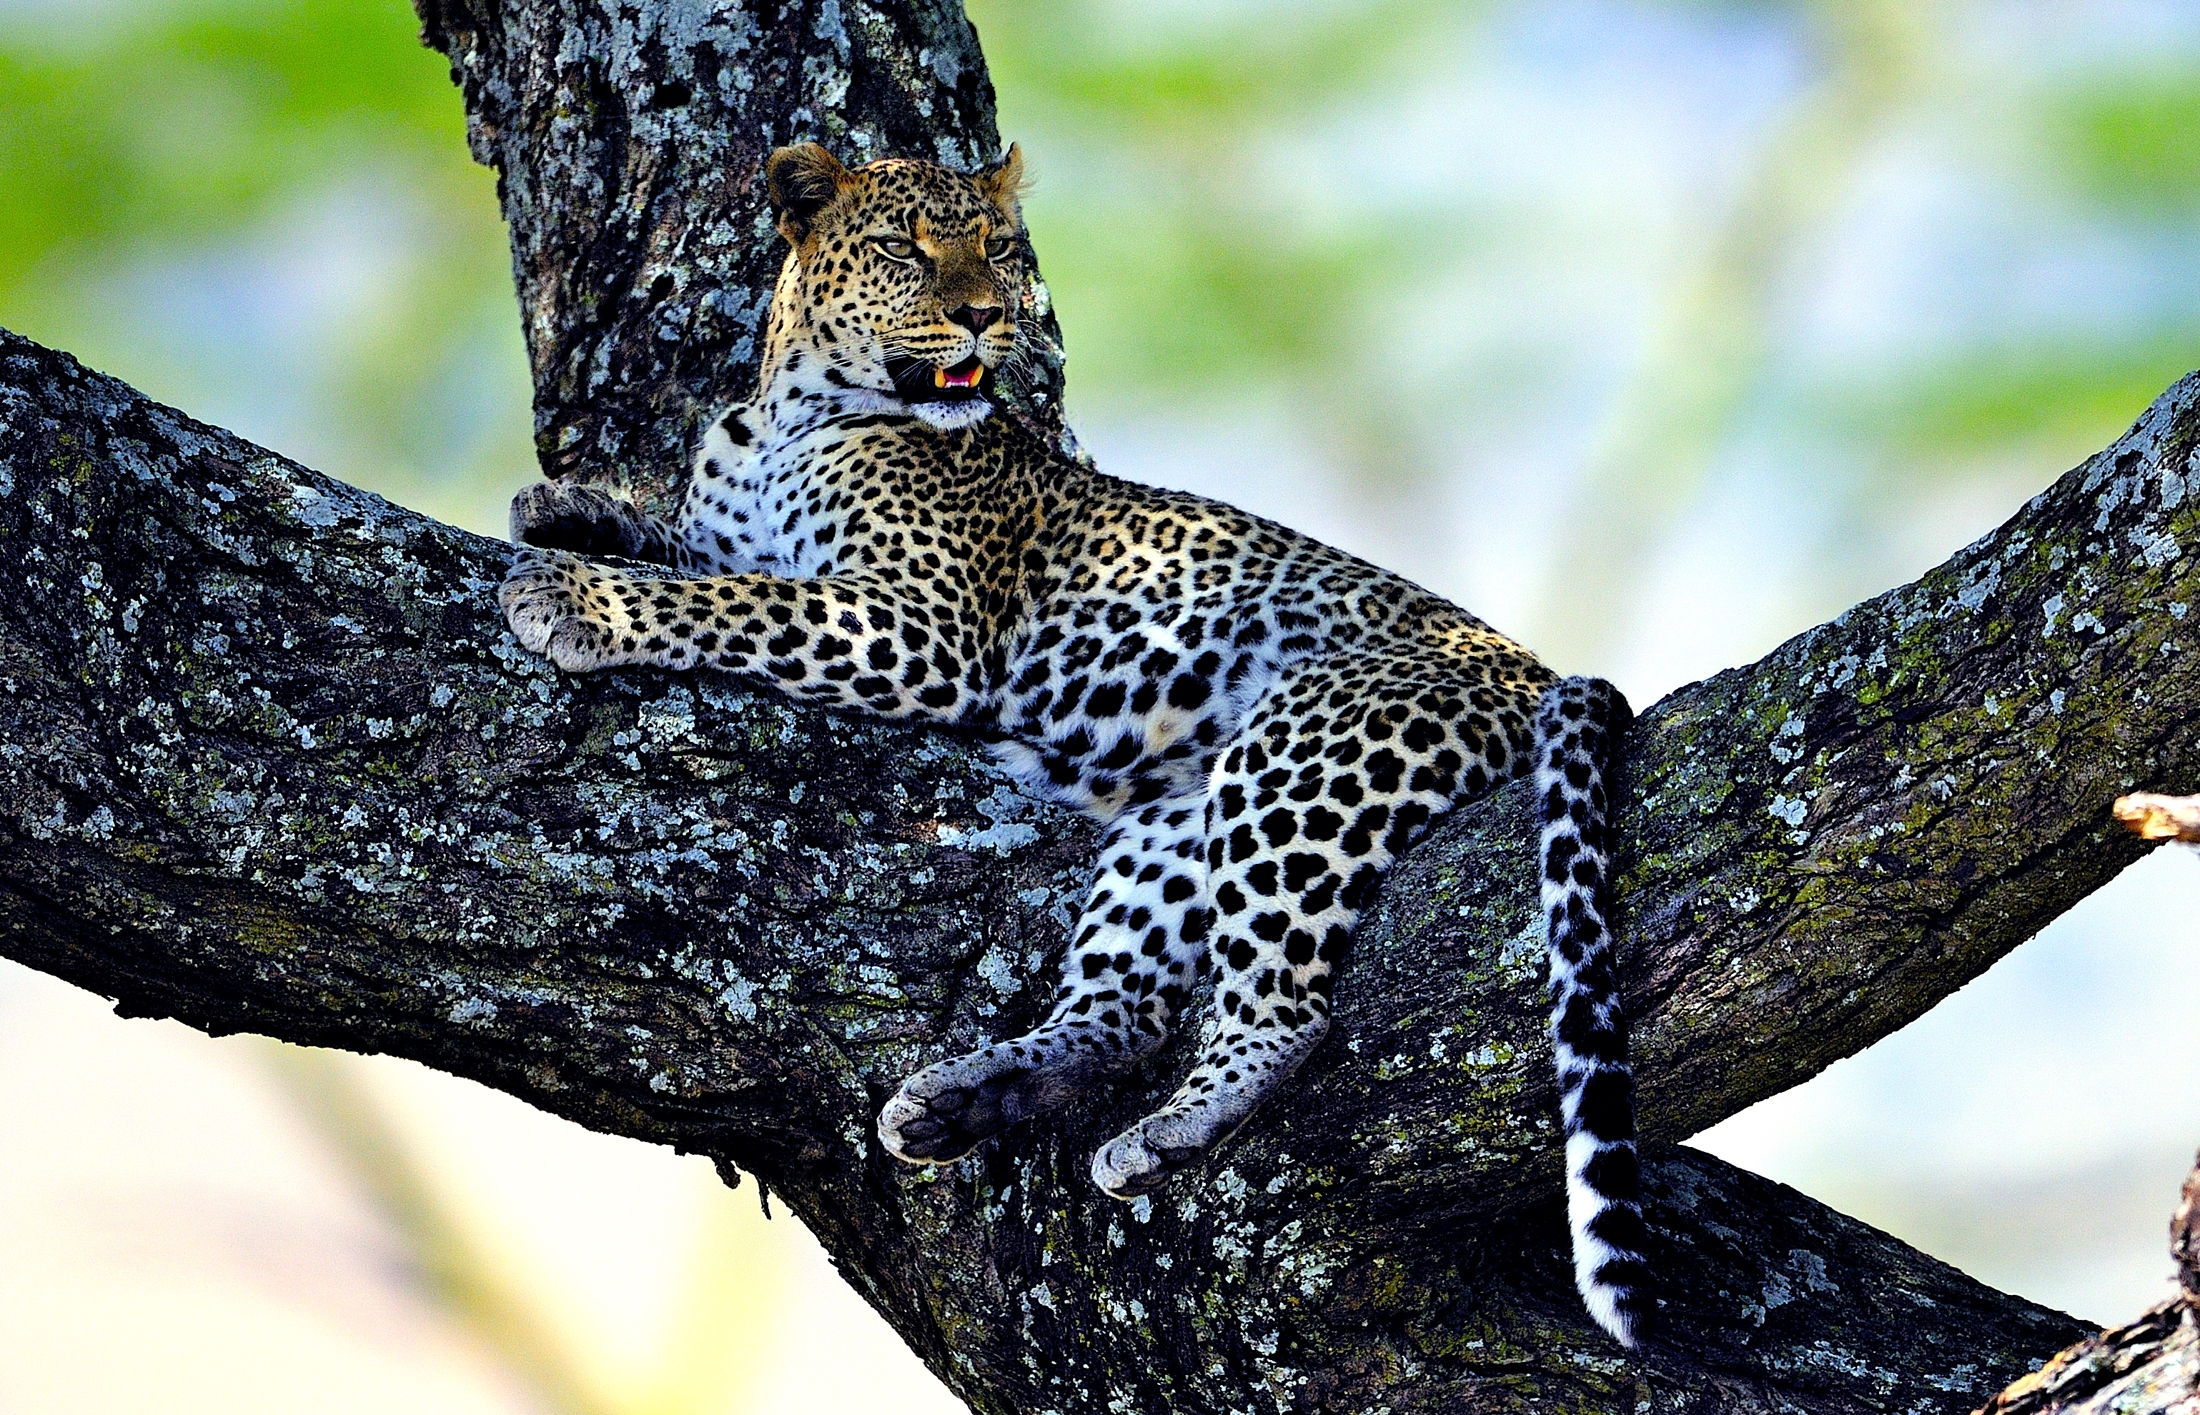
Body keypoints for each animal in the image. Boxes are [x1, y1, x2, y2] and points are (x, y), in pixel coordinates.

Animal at [499, 141, 1654, 1346]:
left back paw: (1170, 1124)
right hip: (1177, 819)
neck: (788, 412)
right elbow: (702, 553)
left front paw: (576, 596)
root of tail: (1537, 669)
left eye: (1002, 249)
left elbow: (732, 599)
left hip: (1308, 743)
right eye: (907, 245)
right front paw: (574, 511)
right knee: (1129, 1007)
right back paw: (974, 1095)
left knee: (1285, 1008)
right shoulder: (784, 553)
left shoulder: (918, 624)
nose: (985, 315)